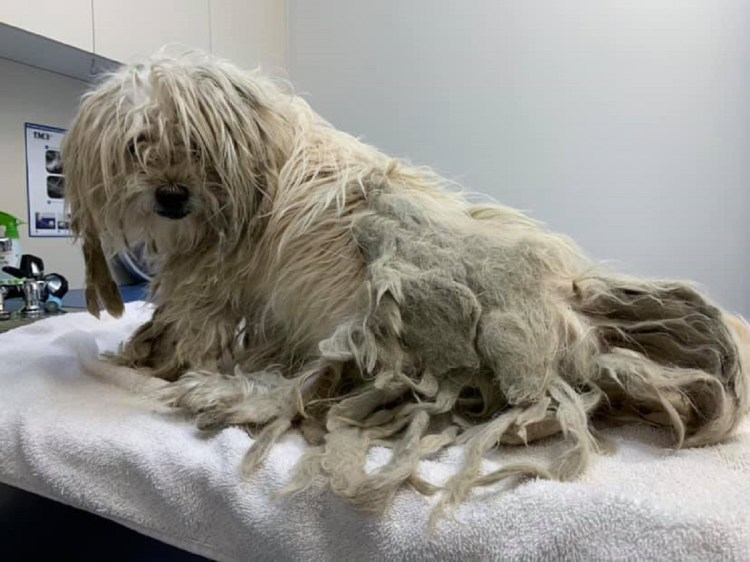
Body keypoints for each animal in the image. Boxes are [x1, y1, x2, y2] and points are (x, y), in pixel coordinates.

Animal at [63, 53, 750, 513]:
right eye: (138, 144)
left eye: (198, 146)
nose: (172, 197)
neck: (265, 165)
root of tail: (580, 321)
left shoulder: (210, 278)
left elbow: (189, 327)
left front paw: (157, 363)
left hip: (382, 330)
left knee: (320, 391)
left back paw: (222, 394)